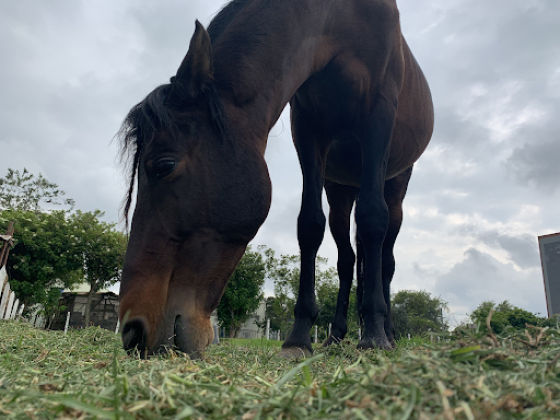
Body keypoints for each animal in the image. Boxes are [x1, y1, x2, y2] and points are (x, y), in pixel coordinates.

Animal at [118, 0, 434, 358]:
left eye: (164, 165)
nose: (132, 331)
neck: (341, 19)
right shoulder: (308, 129)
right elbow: (309, 225)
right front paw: (299, 337)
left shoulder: (378, 115)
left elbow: (372, 220)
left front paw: (375, 335)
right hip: (339, 189)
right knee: (349, 260)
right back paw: (336, 335)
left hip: (394, 183)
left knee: (385, 255)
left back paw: (386, 331)